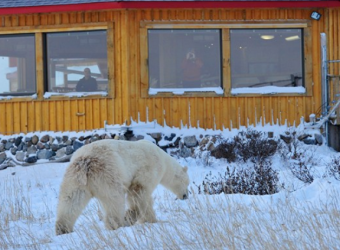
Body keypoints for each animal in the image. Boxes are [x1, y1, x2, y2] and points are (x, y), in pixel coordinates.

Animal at [54, 140, 190, 235]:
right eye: (187, 183)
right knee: (114, 200)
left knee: (71, 199)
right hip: (108, 173)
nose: (186, 196)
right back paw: (117, 224)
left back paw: (63, 228)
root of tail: (85, 161)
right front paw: (142, 218)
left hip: (75, 177)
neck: (163, 159)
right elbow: (139, 193)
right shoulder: (148, 170)